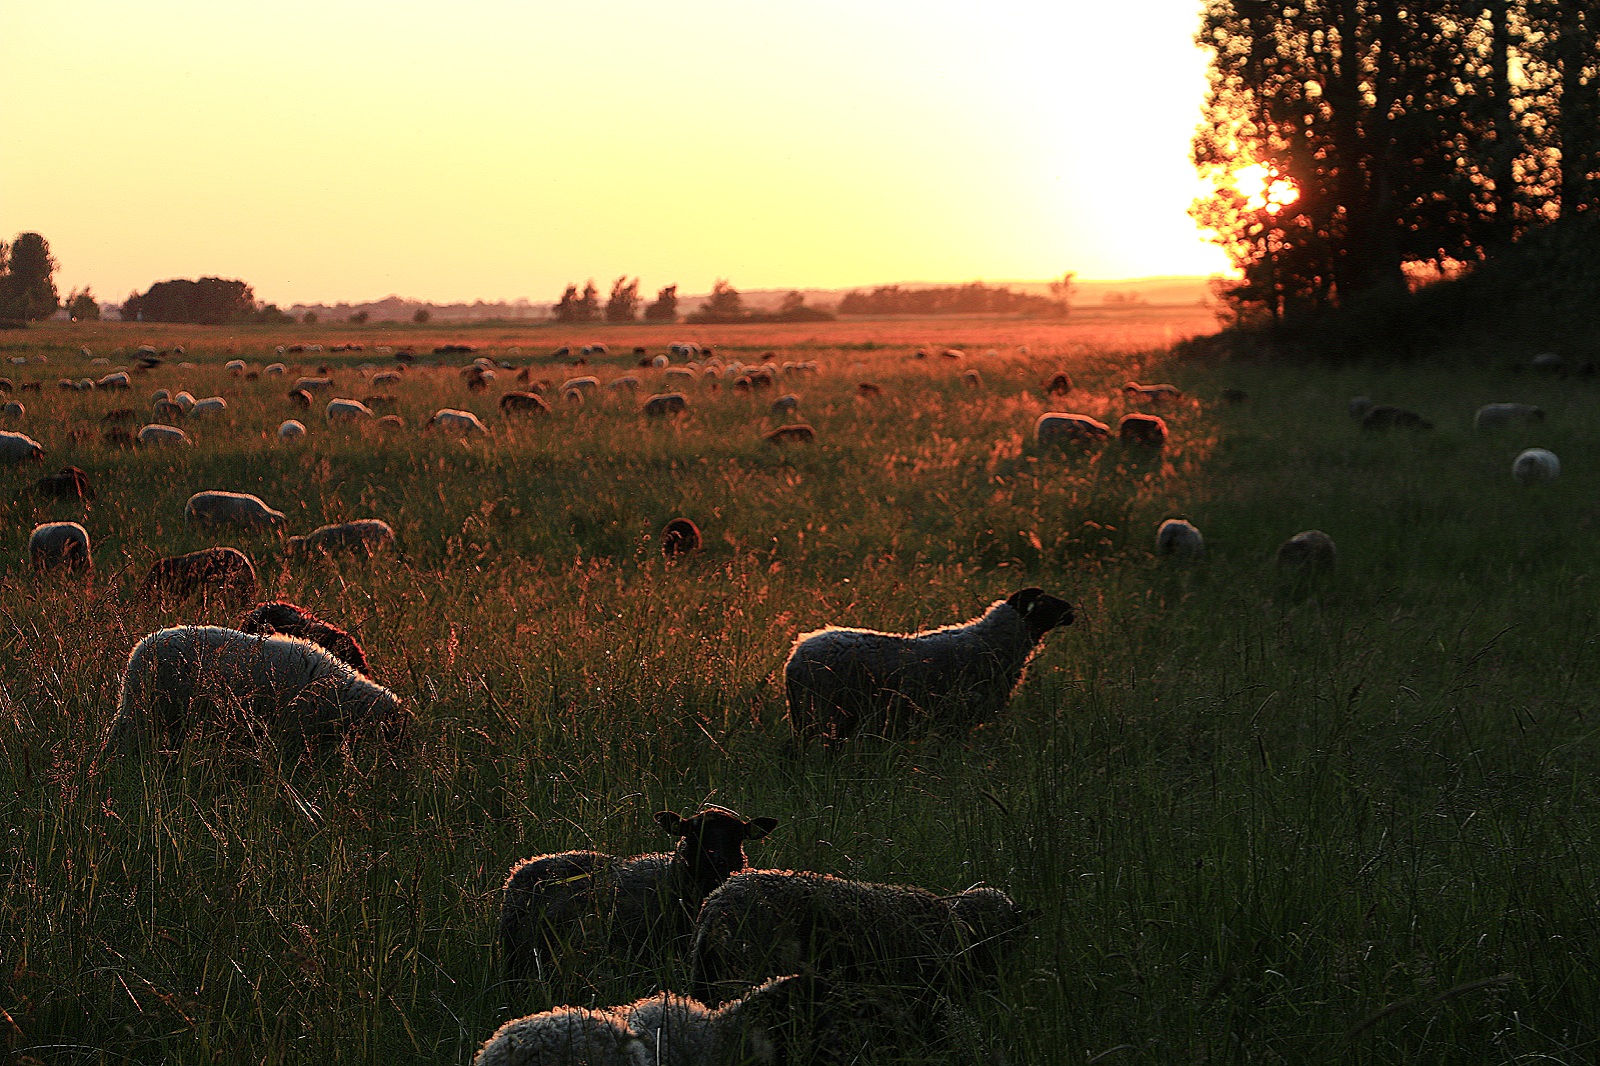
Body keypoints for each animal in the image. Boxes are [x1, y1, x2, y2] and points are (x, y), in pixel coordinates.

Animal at [784, 582, 1075, 745]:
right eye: (1045, 602)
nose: (1071, 611)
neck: (992, 642)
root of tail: (796, 653)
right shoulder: (954, 719)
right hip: (820, 710)